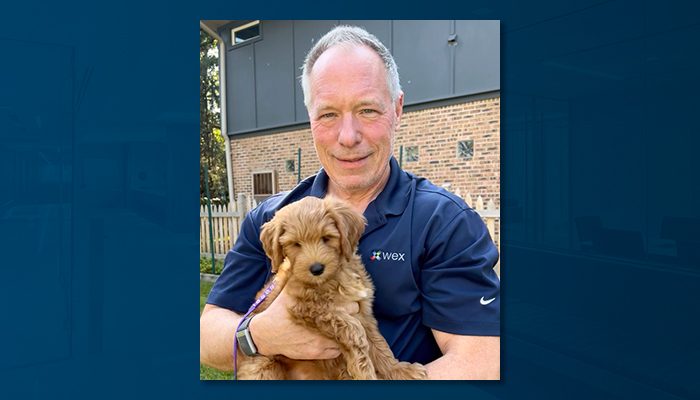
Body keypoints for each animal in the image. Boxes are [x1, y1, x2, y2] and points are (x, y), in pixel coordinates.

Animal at [237, 197, 426, 382]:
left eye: (326, 238)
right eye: (295, 244)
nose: (316, 269)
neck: (335, 278)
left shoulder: (363, 312)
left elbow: (379, 344)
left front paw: (399, 370)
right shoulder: (312, 309)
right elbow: (355, 331)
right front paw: (366, 373)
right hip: (263, 366)